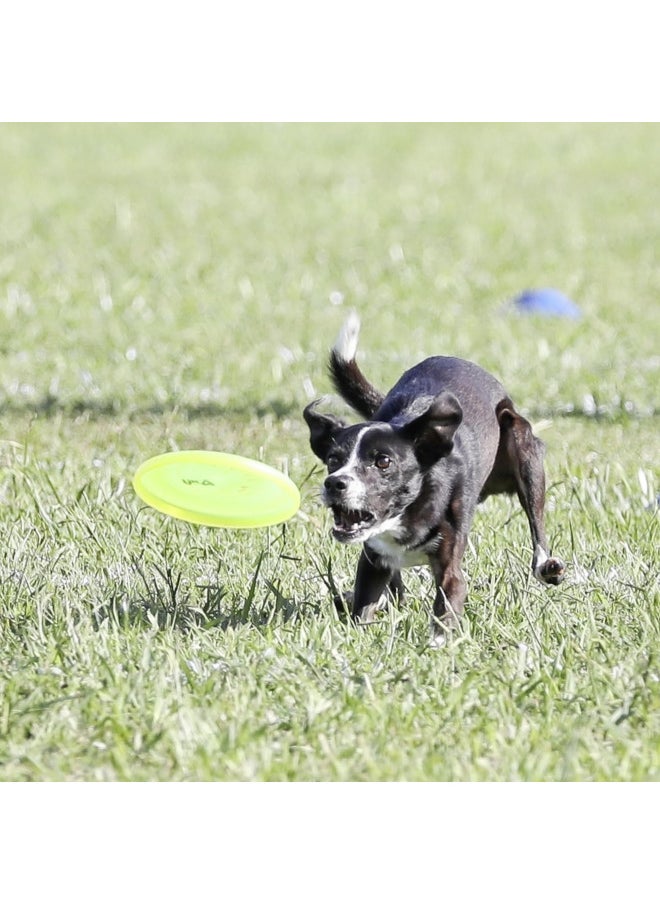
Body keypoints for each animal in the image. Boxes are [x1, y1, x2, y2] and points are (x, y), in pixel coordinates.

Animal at [302, 314, 564, 648]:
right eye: (333, 460)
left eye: (383, 461)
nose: (335, 483)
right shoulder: (373, 563)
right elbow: (365, 605)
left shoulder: (450, 568)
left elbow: (446, 603)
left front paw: (436, 646)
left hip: (523, 450)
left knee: (536, 524)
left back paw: (546, 566)